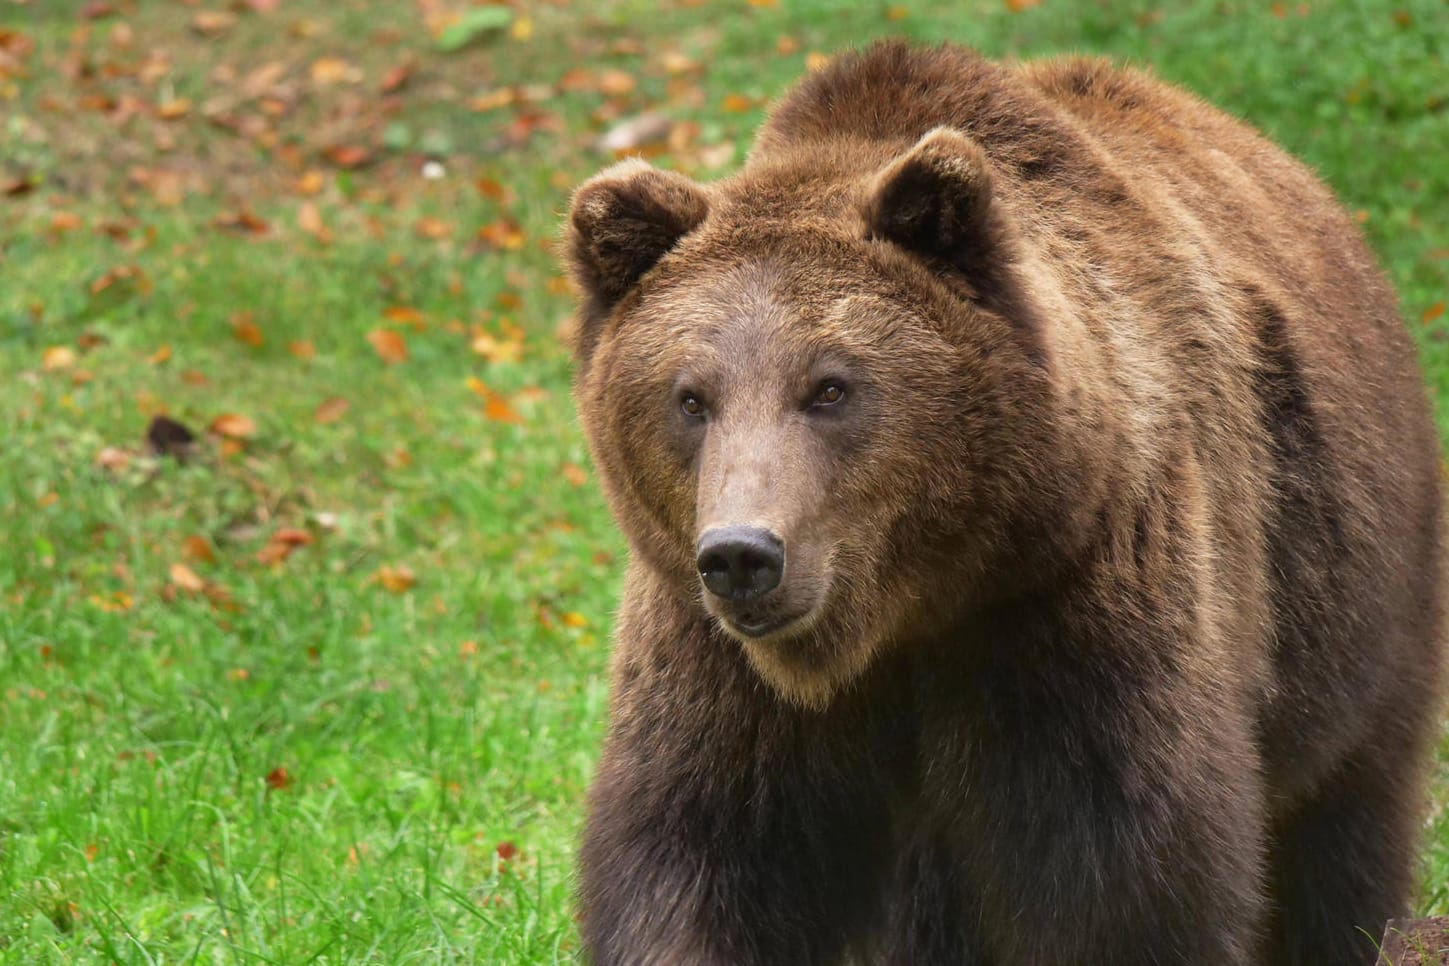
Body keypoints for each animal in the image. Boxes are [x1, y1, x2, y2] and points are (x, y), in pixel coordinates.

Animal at [559, 41, 1443, 966]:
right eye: (690, 397)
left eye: (831, 386)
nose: (742, 556)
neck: (904, 614)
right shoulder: (715, 663)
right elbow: (703, 850)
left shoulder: (1069, 601)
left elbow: (1119, 876)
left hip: (1350, 594)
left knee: (1343, 822)